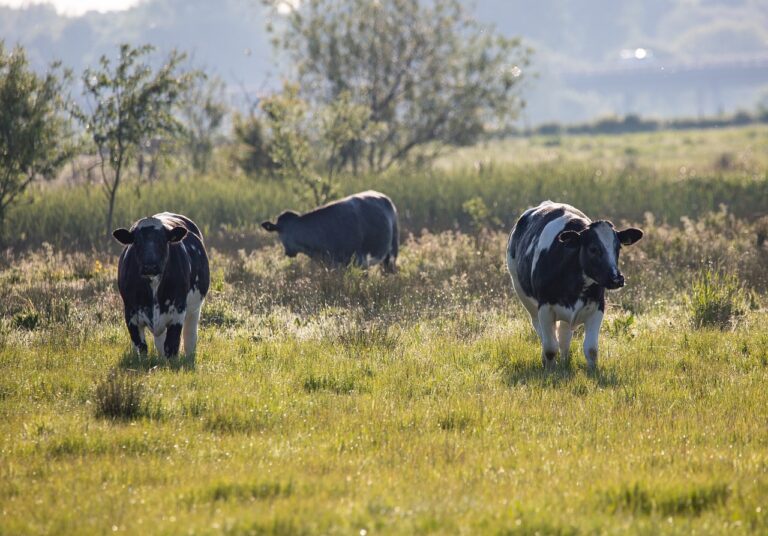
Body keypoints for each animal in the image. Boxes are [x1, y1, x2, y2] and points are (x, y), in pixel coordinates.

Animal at [112, 212, 210, 358]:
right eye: (137, 241)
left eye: (163, 240)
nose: (150, 266)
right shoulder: (130, 314)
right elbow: (141, 348)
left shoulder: (177, 311)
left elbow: (172, 346)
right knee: (159, 342)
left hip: (194, 310)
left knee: (190, 337)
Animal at [506, 201, 643, 369]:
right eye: (593, 249)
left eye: (618, 248)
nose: (616, 278)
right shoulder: (545, 308)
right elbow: (550, 348)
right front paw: (550, 370)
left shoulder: (598, 307)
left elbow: (591, 349)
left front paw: (592, 371)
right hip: (523, 295)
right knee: (541, 331)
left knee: (564, 335)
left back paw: (565, 360)